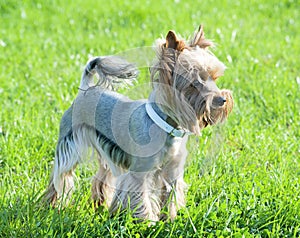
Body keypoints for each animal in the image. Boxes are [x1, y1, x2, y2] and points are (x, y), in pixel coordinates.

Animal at [44, 25, 233, 221]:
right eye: (193, 84)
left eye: (214, 78)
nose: (222, 100)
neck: (167, 126)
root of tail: (85, 89)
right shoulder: (140, 173)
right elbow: (142, 200)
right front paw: (149, 223)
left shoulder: (172, 173)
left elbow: (170, 198)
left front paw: (169, 220)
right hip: (69, 145)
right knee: (60, 176)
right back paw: (52, 205)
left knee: (102, 177)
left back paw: (100, 205)